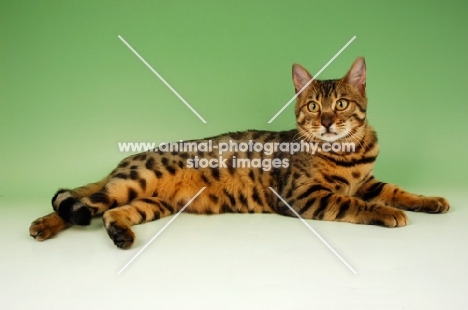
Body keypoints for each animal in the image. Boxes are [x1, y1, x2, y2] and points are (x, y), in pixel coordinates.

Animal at [29, 57, 450, 248]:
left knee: (109, 213)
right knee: (78, 205)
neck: (348, 153)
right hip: (134, 182)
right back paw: (43, 225)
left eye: (342, 104)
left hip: (153, 203)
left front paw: (431, 201)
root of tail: (124, 161)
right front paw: (388, 214)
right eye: (314, 106)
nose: (328, 122)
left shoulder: (368, 181)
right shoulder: (303, 195)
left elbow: (398, 190)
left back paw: (121, 236)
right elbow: (356, 205)